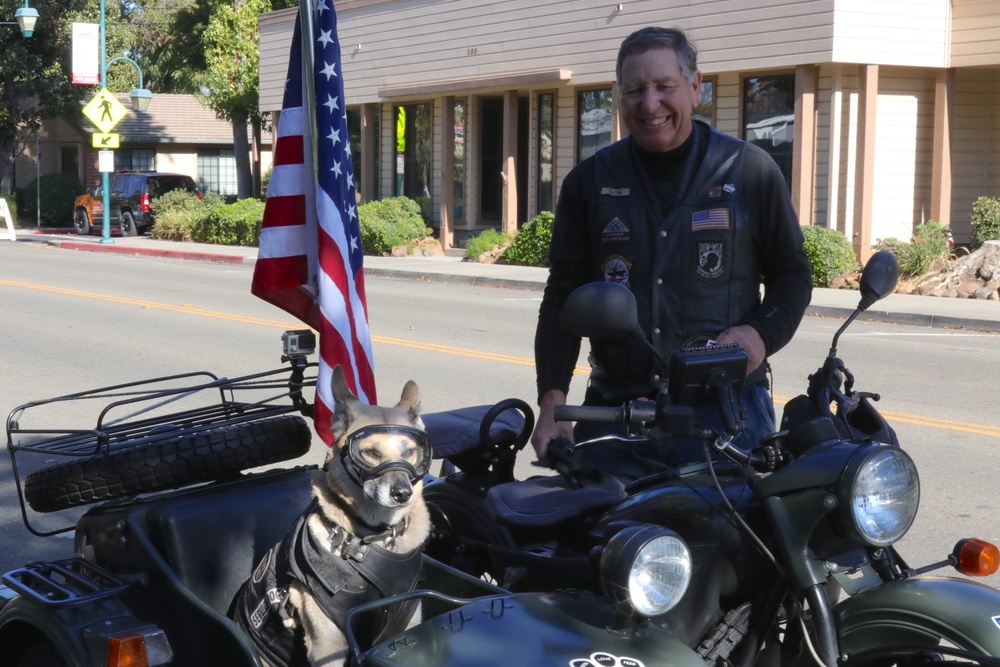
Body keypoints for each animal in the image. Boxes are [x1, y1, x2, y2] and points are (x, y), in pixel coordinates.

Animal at [237, 368, 434, 664]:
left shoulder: (406, 624)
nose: (402, 493)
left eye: (409, 451)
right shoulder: (328, 649)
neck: (376, 538)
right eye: (371, 452)